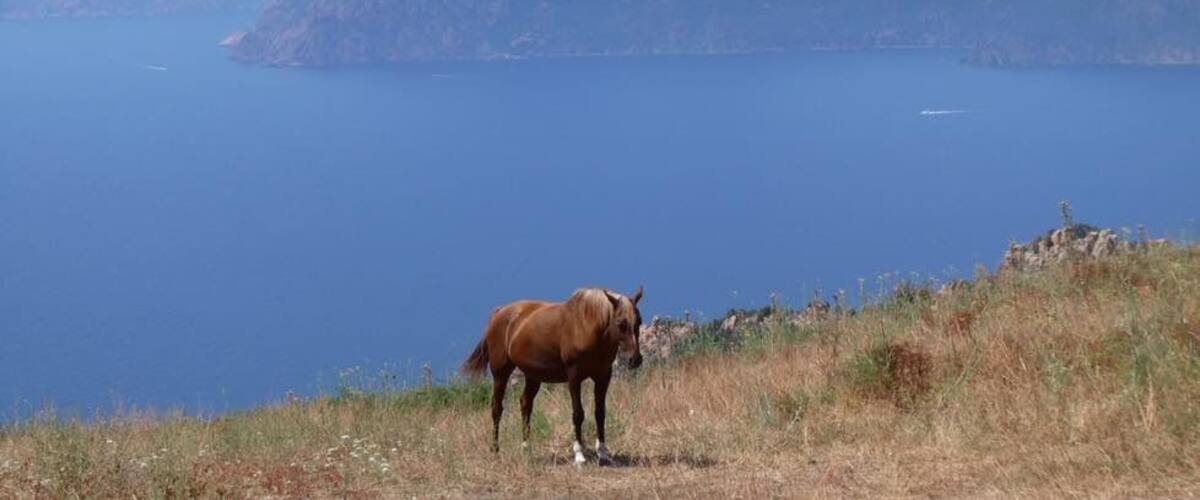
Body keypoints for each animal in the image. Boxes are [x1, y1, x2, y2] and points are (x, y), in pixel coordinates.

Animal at [461, 286, 644, 466]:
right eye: (621, 324)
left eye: (639, 322)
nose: (635, 359)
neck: (587, 326)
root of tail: (498, 313)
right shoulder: (574, 377)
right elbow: (578, 413)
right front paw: (579, 455)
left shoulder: (603, 376)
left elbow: (600, 413)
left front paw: (603, 454)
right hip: (501, 373)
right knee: (497, 408)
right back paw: (495, 450)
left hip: (533, 376)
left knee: (525, 405)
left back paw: (526, 449)